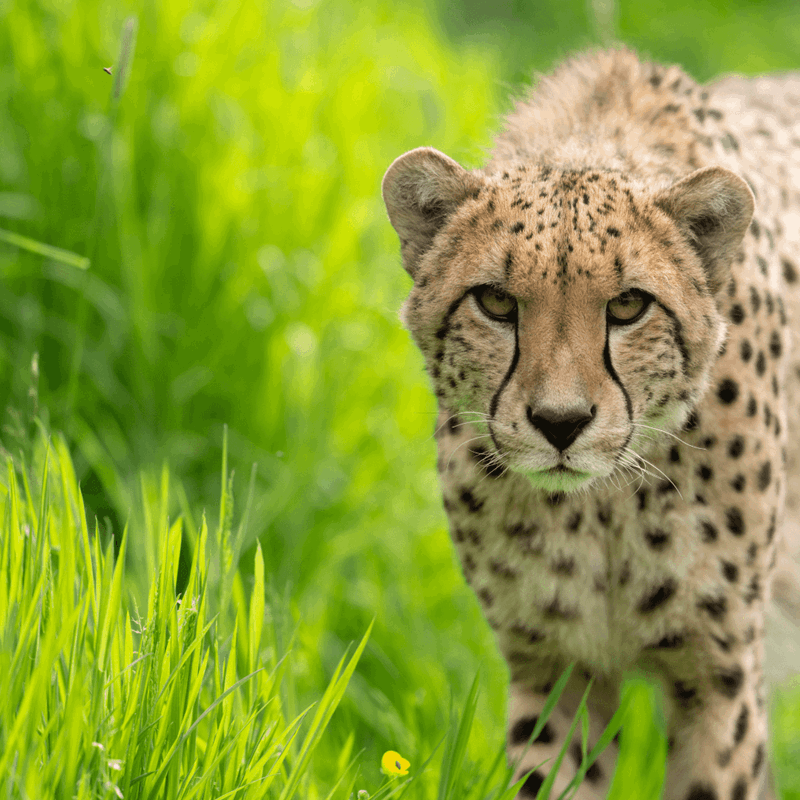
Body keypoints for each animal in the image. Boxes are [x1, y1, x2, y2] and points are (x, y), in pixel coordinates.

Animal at [381, 47, 800, 800]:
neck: (603, 505)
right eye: (495, 302)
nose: (560, 422)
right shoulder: (553, 666)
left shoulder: (718, 675)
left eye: (630, 305)